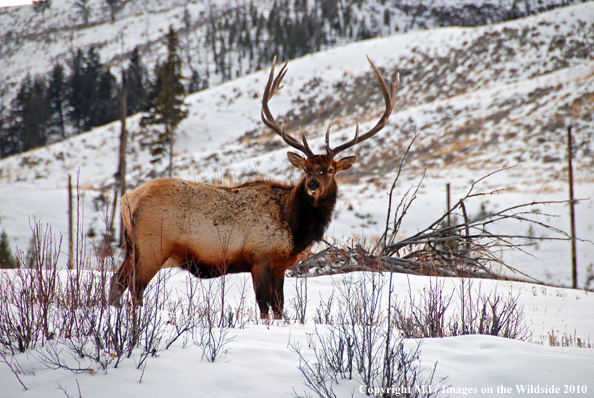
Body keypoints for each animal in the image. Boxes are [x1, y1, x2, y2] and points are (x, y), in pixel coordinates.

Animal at [109, 56, 400, 318]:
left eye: (329, 169)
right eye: (306, 168)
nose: (313, 184)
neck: (294, 227)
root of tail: (127, 200)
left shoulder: (281, 265)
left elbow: (280, 309)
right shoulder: (259, 257)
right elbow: (264, 307)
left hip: (133, 247)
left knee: (116, 282)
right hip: (153, 245)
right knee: (135, 287)